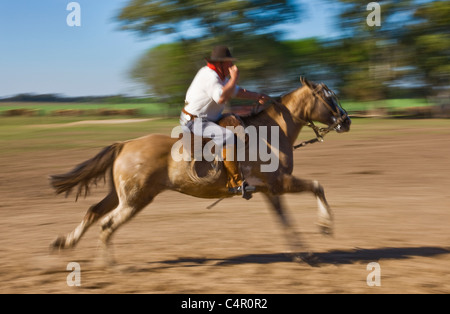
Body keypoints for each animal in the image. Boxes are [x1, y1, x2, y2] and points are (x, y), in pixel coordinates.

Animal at [49, 77, 352, 264]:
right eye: (329, 97)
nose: (346, 120)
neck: (269, 134)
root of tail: (124, 145)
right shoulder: (280, 183)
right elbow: (317, 186)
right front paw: (325, 226)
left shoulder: (270, 191)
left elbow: (286, 221)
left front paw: (304, 254)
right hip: (135, 200)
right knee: (107, 224)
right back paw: (110, 264)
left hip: (120, 196)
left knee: (93, 213)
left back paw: (65, 242)